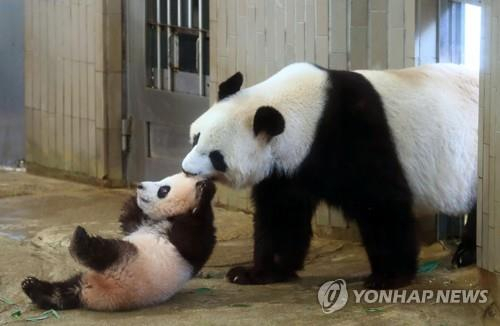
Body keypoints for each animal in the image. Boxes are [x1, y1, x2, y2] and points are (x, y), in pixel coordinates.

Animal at [182, 62, 478, 290]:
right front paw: (257, 272)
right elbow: (282, 213)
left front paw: (389, 277)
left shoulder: (356, 133)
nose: (186, 170)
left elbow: (382, 204)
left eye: (216, 156)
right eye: (196, 137)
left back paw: (466, 254)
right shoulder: (288, 168)